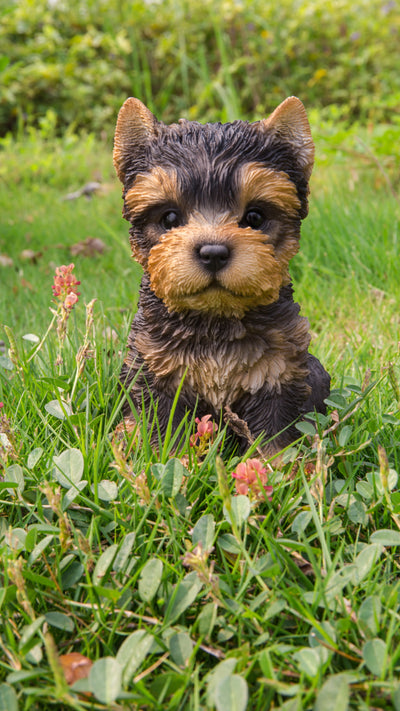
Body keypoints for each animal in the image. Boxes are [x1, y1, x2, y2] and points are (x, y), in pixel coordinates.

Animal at [114, 97, 330, 454]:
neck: (216, 320)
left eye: (254, 217)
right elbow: (164, 436)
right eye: (169, 218)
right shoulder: (155, 371)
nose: (213, 252)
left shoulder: (278, 372)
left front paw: (272, 468)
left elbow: (275, 439)